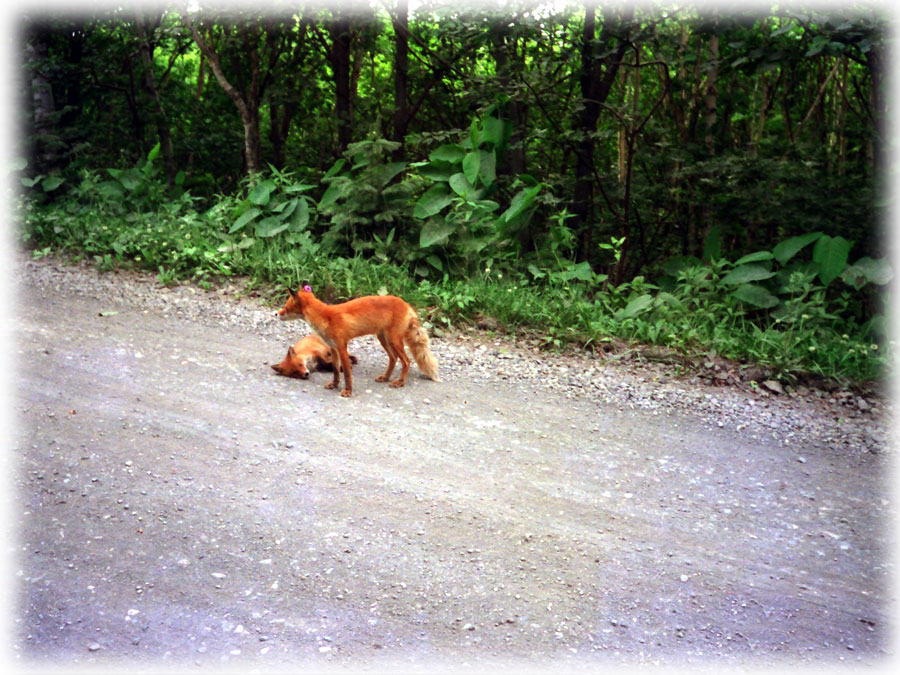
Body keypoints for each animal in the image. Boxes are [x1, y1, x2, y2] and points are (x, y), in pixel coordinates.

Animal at [278, 284, 440, 398]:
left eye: (285, 307)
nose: (276, 314)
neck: (325, 317)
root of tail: (407, 305)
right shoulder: (333, 348)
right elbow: (336, 371)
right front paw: (334, 385)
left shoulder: (342, 347)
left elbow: (347, 373)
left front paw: (348, 391)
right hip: (383, 339)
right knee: (393, 359)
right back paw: (385, 378)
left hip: (394, 340)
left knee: (406, 361)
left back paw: (400, 382)